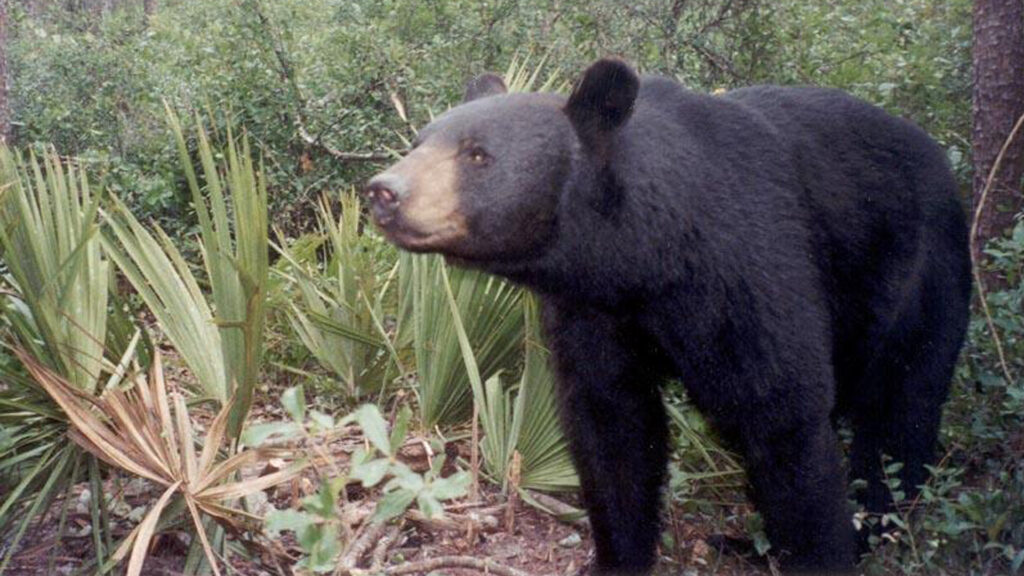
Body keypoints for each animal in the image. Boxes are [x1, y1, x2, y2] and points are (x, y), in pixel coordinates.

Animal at [364, 60, 970, 569]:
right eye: (418, 141)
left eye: (477, 154)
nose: (383, 191)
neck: (646, 258)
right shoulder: (592, 311)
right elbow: (612, 426)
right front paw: (617, 557)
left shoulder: (751, 267)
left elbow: (785, 416)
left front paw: (822, 549)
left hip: (919, 275)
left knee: (900, 413)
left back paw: (867, 526)